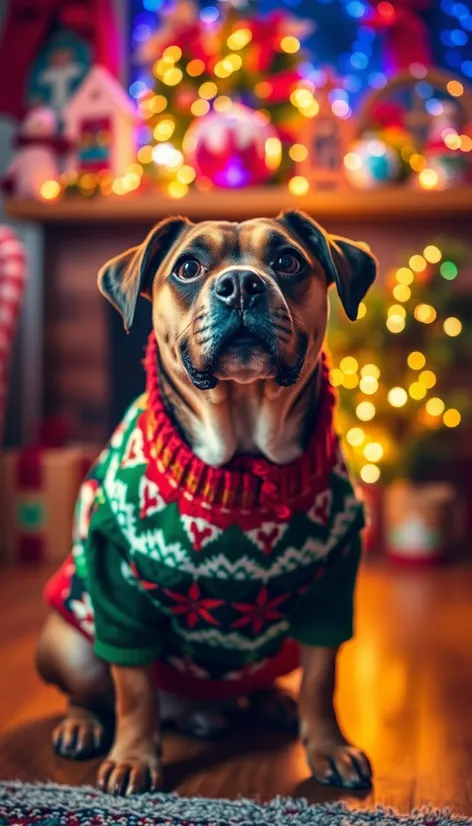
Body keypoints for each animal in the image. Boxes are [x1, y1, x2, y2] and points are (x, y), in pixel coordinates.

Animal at [36, 209, 376, 796]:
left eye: (287, 261)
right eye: (188, 268)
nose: (240, 284)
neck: (242, 456)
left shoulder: (331, 587)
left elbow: (321, 678)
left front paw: (329, 748)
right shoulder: (117, 587)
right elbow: (134, 690)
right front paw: (133, 756)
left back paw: (265, 702)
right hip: (69, 645)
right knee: (96, 691)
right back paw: (84, 725)